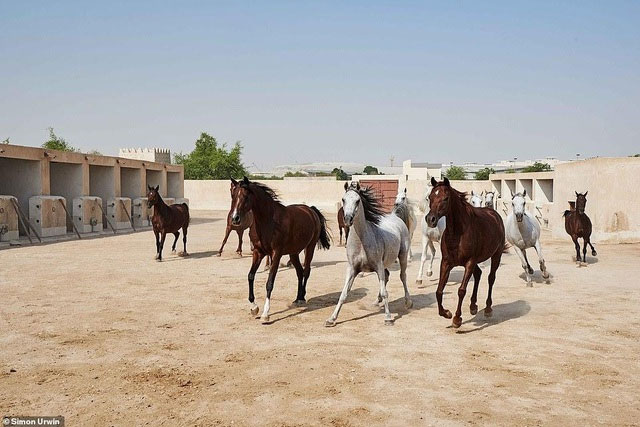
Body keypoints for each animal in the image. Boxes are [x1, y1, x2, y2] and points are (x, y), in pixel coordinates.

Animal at [230, 177, 330, 324]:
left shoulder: (275, 254)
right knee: (299, 272)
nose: (235, 218)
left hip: (309, 248)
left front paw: (265, 314)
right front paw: (254, 308)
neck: (269, 221)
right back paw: (297, 298)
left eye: (246, 196)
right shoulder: (258, 252)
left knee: (306, 271)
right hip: (294, 253)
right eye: (233, 195)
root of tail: (310, 210)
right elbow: (250, 276)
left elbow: (269, 283)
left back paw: (302, 298)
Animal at [328, 182, 412, 326]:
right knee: (387, 276)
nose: (348, 219)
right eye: (343, 200)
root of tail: (395, 216)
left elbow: (385, 292)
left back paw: (408, 302)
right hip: (385, 265)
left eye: (357, 200)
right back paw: (376, 301)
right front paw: (332, 319)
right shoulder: (352, 269)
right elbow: (343, 294)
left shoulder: (378, 266)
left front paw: (388, 318)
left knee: (403, 276)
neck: (362, 241)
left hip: (402, 257)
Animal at [428, 176, 508, 328]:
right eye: (430, 197)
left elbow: (461, 290)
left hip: (496, 256)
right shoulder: (446, 262)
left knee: (491, 278)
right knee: (478, 274)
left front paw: (457, 319)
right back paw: (473, 306)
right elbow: (439, 291)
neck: (458, 233)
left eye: (445, 198)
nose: (430, 219)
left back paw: (488, 309)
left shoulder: (469, 262)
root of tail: (494, 214)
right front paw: (446, 313)